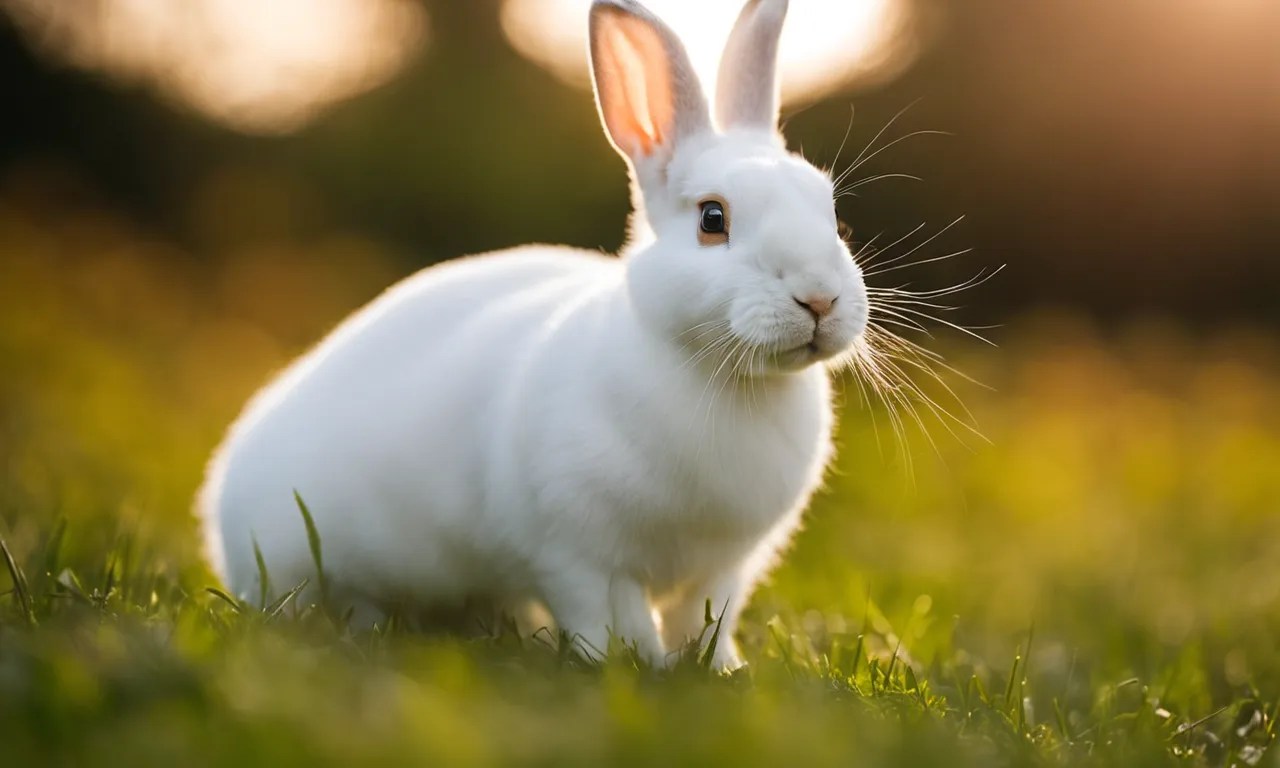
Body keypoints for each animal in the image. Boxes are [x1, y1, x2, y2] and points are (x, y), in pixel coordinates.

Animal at [197, 0, 868, 671]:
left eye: (833, 216)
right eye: (712, 218)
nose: (819, 298)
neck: (719, 374)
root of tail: (221, 499)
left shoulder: (725, 567)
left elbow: (707, 619)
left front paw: (720, 669)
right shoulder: (577, 550)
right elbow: (608, 613)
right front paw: (628, 662)